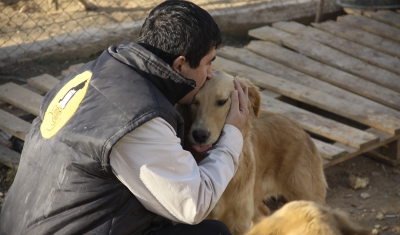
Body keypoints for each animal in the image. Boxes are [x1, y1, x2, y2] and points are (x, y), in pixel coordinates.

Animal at [178, 70, 328, 234]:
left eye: (222, 101)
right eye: (193, 102)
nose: (199, 135)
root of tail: (304, 133)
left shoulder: (239, 221)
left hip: (308, 196)